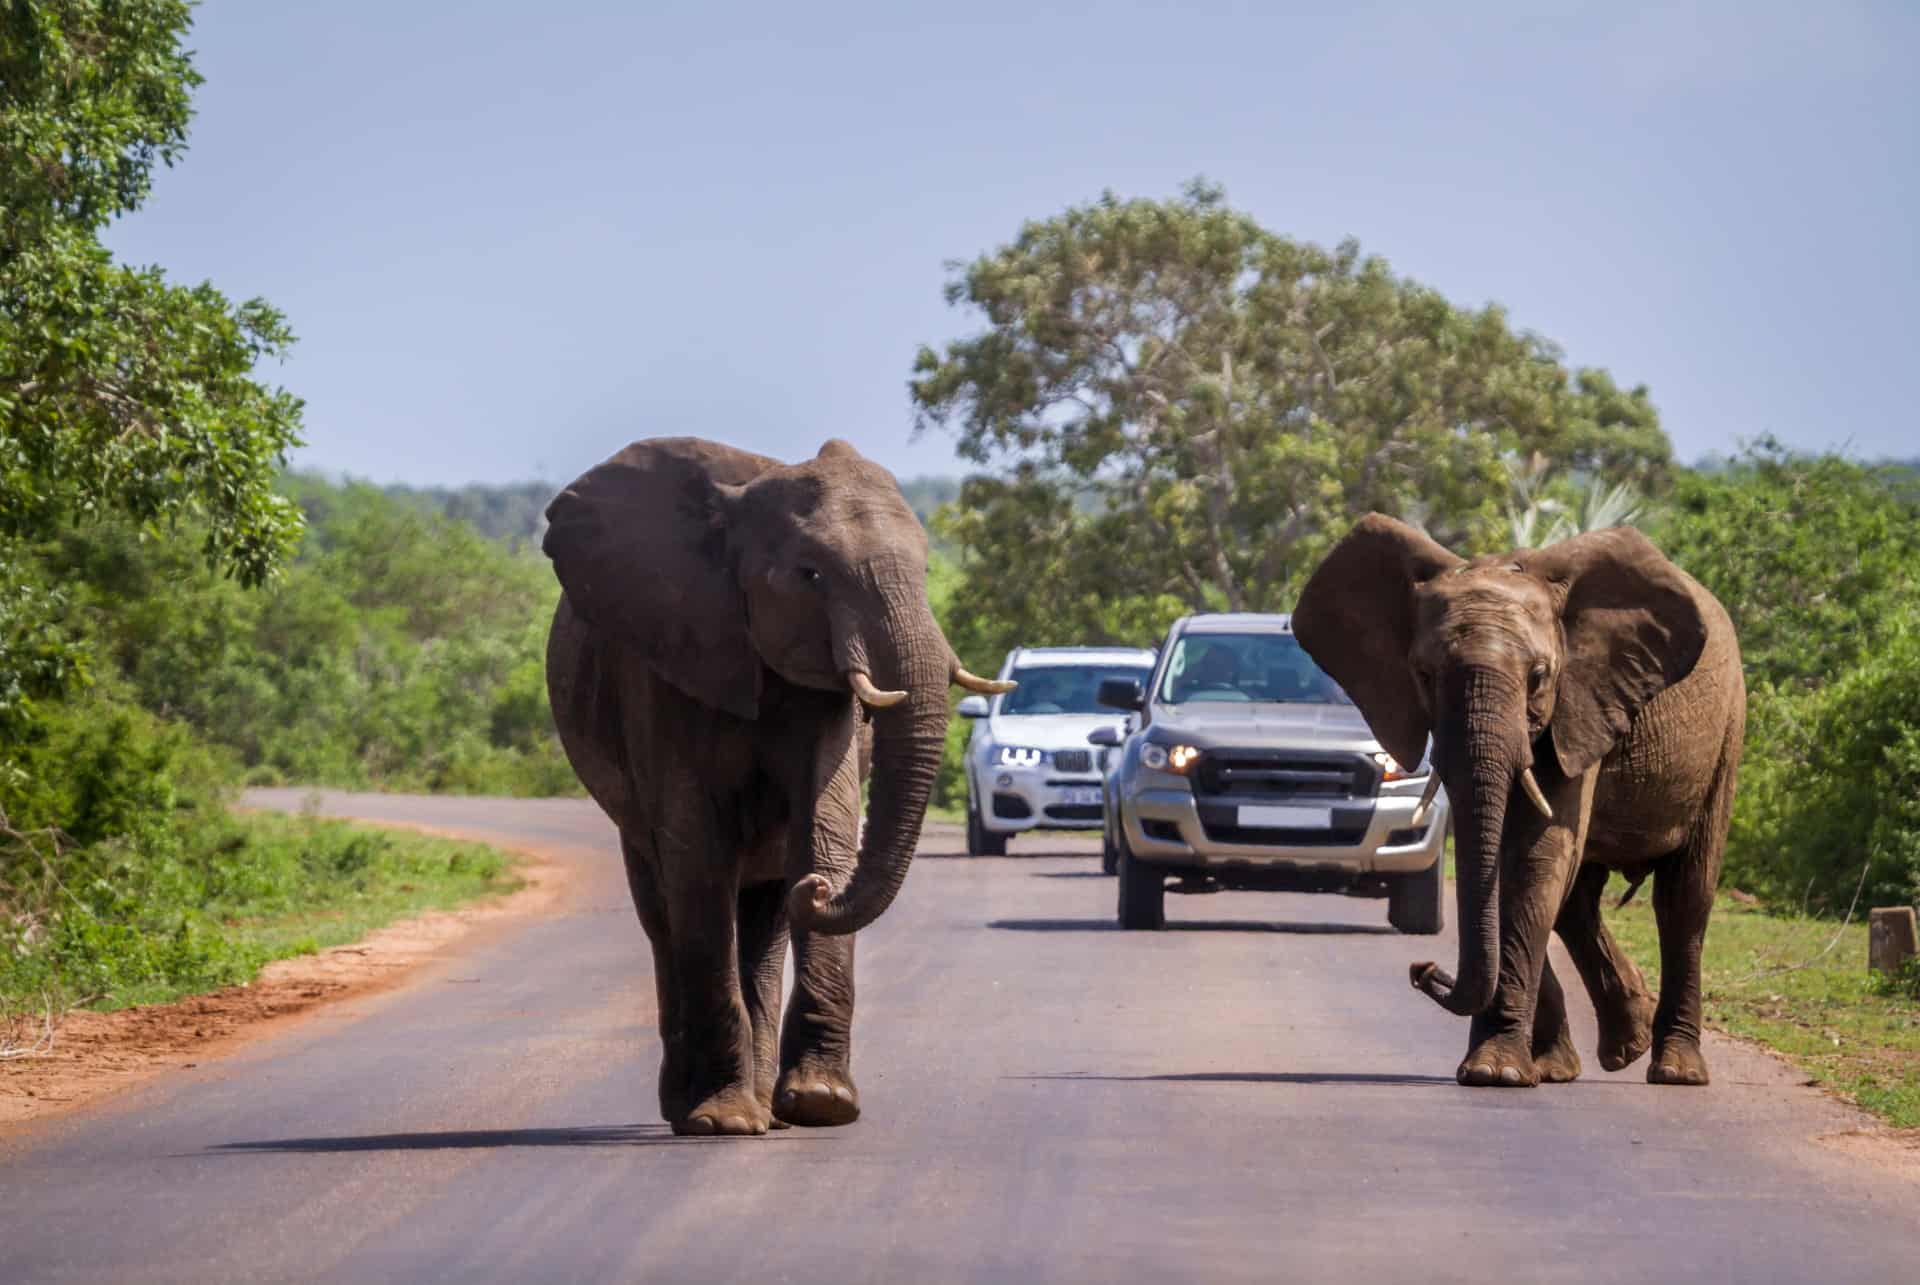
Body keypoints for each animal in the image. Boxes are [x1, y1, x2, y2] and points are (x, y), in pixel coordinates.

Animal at [545, 434, 1006, 1129]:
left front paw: (821, 1104)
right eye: (810, 575)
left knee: (763, 925)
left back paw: (771, 1106)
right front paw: (721, 1121)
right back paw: (692, 1107)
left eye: (926, 572)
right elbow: (697, 855)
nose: (815, 891)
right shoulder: (665, 661)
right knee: (662, 915)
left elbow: (826, 825)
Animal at [1290, 514, 1743, 1091]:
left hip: (1727, 728)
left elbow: (1535, 856)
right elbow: (1513, 869)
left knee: (1685, 894)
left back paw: (1674, 1070)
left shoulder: (1581, 701)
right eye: (1423, 675)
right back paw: (1606, 1050)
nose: (1423, 970)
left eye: (1539, 676)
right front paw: (1505, 1068)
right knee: (1577, 901)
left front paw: (1494, 1071)